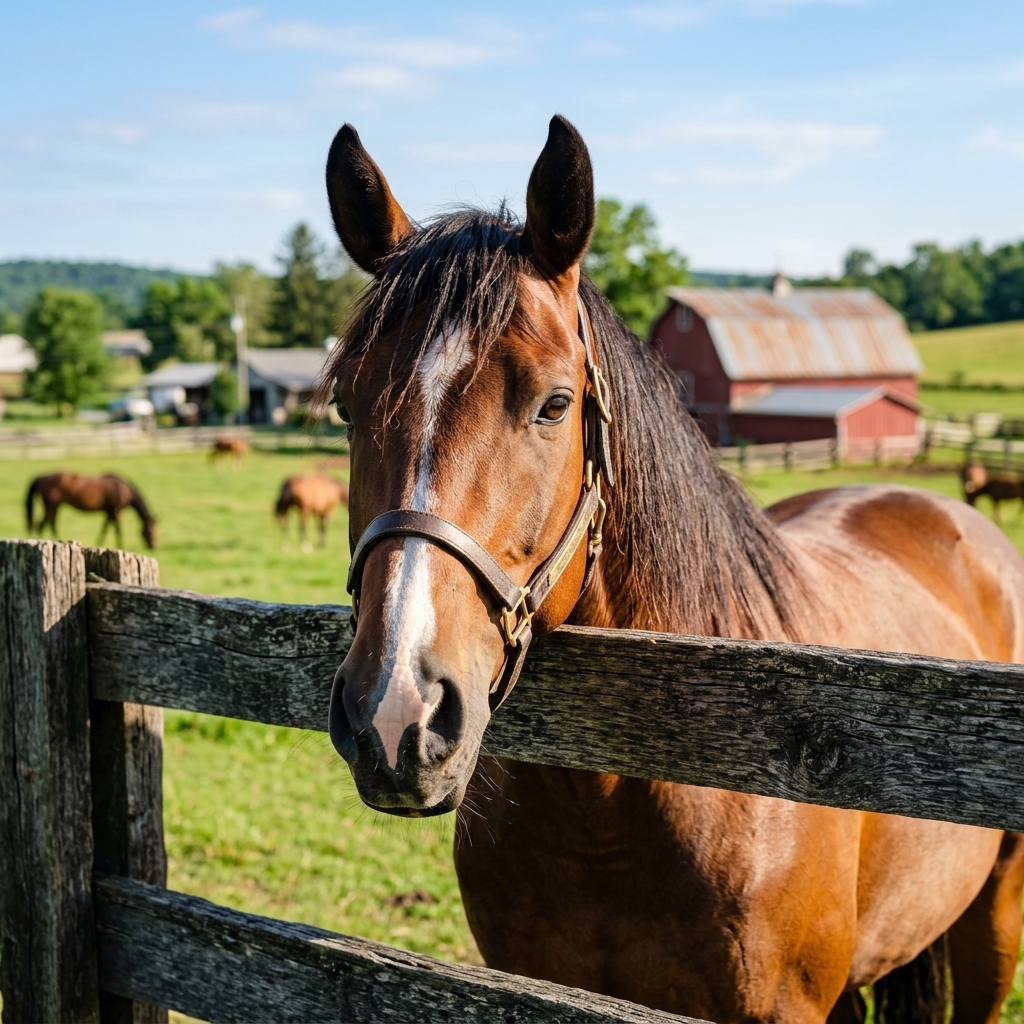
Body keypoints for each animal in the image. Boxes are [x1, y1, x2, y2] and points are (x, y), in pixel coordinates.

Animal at [26, 472, 157, 549]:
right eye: (150, 532)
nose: (154, 546)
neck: (122, 488)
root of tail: (41, 478)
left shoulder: (109, 512)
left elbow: (105, 528)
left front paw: (99, 542)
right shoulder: (116, 511)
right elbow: (117, 529)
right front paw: (121, 545)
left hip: (55, 505)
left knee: (48, 522)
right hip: (51, 504)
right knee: (45, 522)